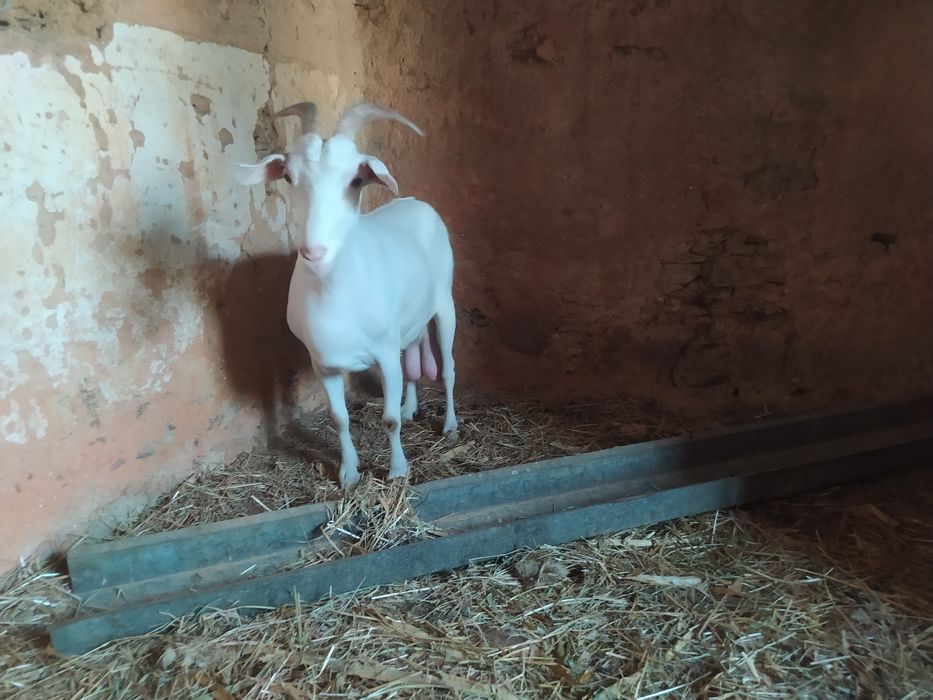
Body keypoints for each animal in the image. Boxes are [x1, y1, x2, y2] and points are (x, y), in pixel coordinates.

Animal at [235, 101, 457, 489]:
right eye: (288, 177)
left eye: (356, 180)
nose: (314, 250)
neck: (333, 294)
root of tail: (416, 202)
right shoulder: (323, 363)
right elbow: (339, 419)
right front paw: (349, 473)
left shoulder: (384, 353)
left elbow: (388, 421)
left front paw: (397, 471)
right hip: (409, 324)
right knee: (413, 367)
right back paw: (410, 407)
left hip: (445, 302)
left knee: (448, 369)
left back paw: (450, 426)